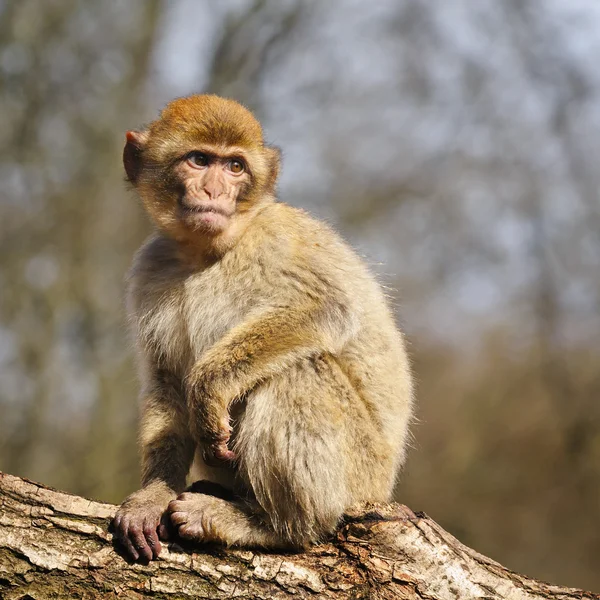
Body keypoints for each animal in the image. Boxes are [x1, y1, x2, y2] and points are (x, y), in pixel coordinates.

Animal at [111, 95, 412, 564]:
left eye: (235, 167)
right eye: (199, 160)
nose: (214, 191)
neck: (208, 252)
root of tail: (383, 486)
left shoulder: (275, 237)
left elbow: (326, 308)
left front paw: (208, 387)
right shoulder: (149, 268)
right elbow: (166, 380)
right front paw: (153, 496)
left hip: (359, 477)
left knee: (299, 370)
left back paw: (278, 526)